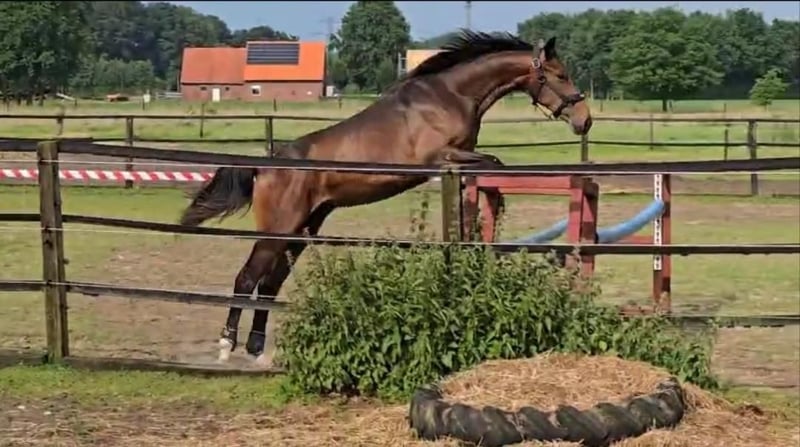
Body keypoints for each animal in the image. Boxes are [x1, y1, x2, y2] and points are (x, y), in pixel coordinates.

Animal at [179, 30, 592, 364]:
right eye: (560, 75)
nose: (584, 120)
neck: (452, 95)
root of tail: (266, 165)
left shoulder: (456, 158)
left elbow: (490, 168)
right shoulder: (441, 157)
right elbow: (494, 162)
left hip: (303, 228)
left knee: (269, 284)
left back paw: (255, 349)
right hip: (278, 230)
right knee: (247, 278)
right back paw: (226, 346)